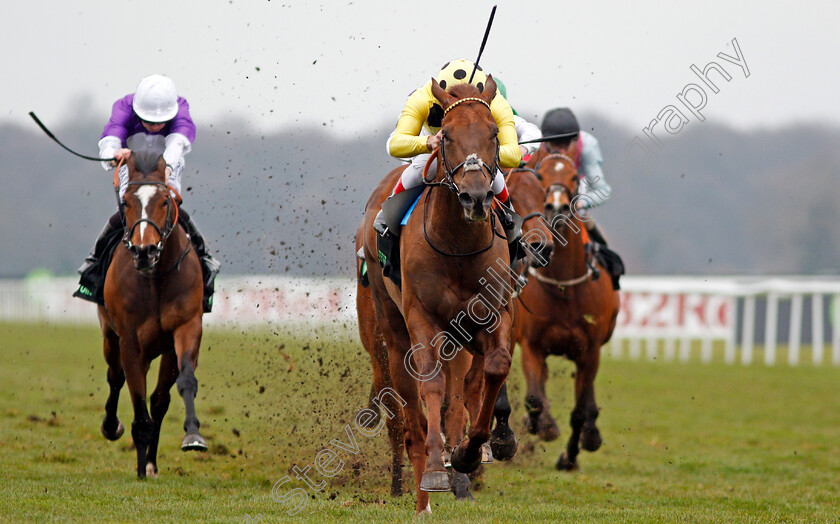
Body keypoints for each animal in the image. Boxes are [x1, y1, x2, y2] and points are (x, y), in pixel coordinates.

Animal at [97, 151, 208, 478]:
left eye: (165, 201)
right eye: (126, 202)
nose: (144, 250)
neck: (155, 279)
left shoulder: (186, 328)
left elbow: (182, 383)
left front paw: (192, 435)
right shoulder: (130, 340)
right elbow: (136, 400)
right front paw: (140, 466)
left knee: (158, 399)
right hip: (110, 336)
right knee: (115, 377)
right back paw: (112, 427)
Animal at [360, 79, 520, 516]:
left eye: (494, 133)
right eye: (445, 135)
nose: (476, 197)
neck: (457, 244)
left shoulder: (493, 313)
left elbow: (493, 370)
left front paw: (468, 453)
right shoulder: (422, 316)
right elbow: (430, 383)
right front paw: (435, 469)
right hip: (390, 327)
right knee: (409, 409)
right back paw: (421, 496)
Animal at [492, 146, 616, 470]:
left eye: (573, 176)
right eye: (542, 174)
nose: (556, 207)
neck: (563, 286)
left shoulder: (590, 350)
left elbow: (579, 410)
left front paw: (569, 457)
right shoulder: (532, 345)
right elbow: (535, 399)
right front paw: (544, 425)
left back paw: (590, 433)